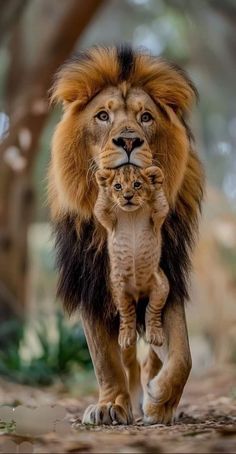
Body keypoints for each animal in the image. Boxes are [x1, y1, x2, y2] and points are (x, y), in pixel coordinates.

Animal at [48, 46, 204, 426]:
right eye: (103, 116)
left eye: (145, 117)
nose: (129, 140)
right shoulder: (91, 281)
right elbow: (105, 358)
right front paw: (112, 404)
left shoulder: (166, 275)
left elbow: (183, 355)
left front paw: (160, 401)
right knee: (127, 350)